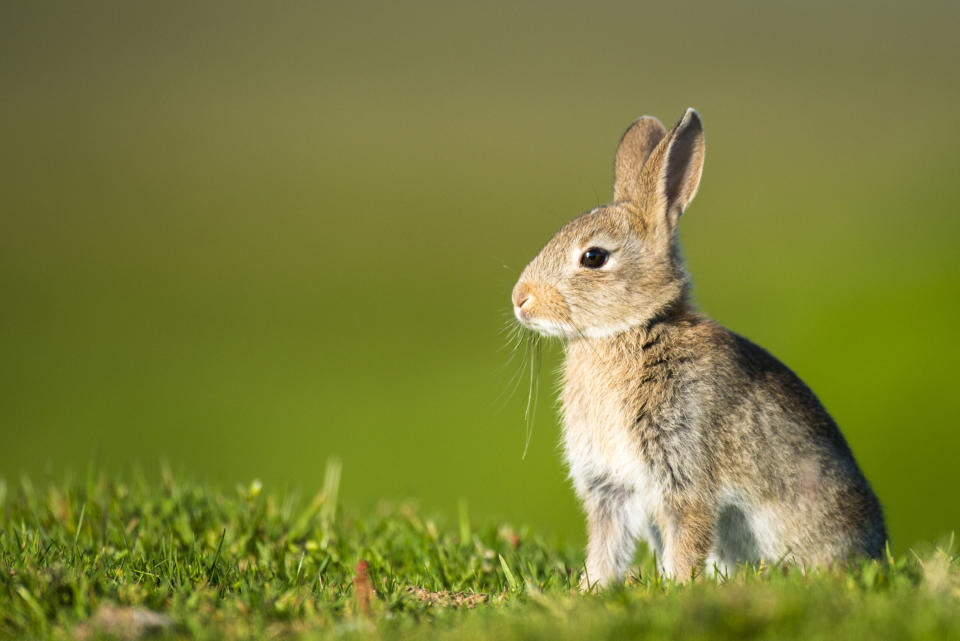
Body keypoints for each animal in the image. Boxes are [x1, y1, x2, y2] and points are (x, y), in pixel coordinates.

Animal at [512, 109, 888, 584]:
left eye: (593, 257)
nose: (520, 299)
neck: (633, 329)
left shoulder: (683, 470)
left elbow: (686, 536)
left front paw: (677, 586)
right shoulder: (610, 487)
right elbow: (606, 546)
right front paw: (593, 588)